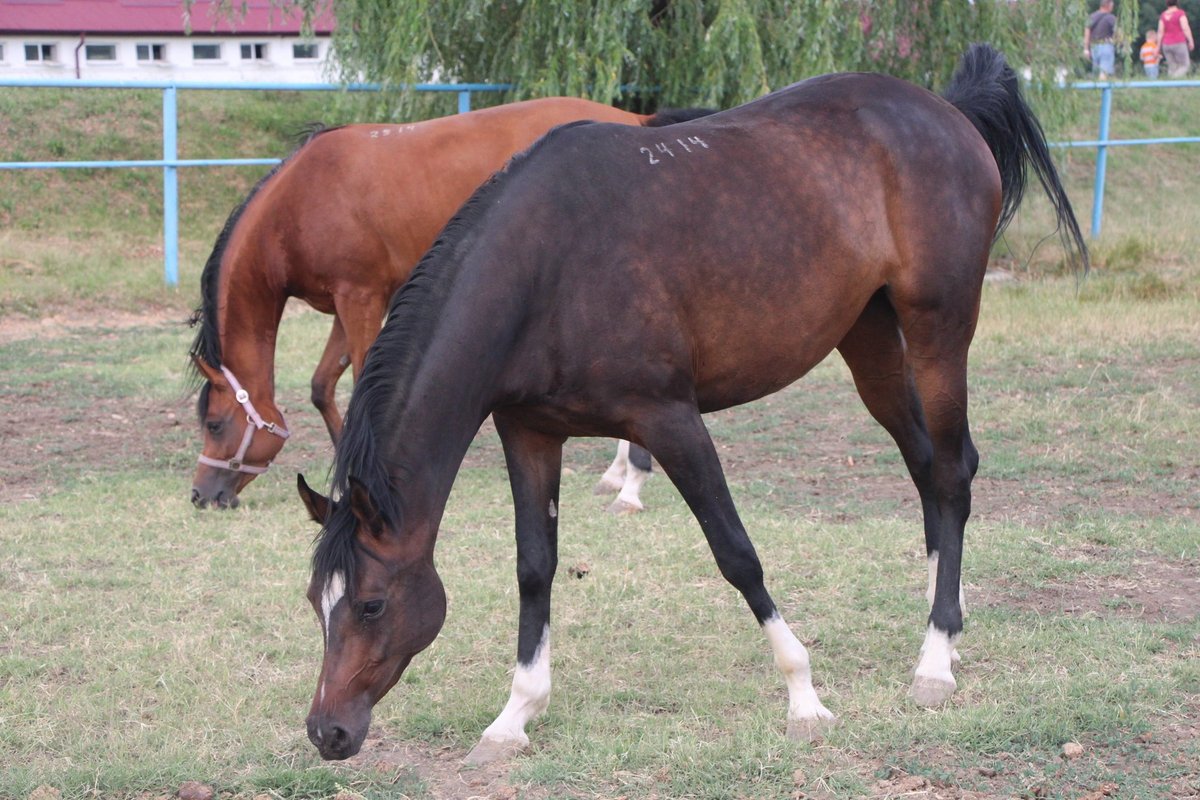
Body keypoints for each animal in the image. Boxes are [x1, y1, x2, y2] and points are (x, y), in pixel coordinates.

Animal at [188, 94, 705, 506]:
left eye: (214, 424)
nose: (201, 495)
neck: (301, 199)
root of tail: (633, 120)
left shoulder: (360, 297)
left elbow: (357, 381)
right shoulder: (347, 303)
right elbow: (321, 387)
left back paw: (631, 483)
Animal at [292, 47, 1089, 767]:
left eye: (370, 605)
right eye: (312, 602)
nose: (328, 732)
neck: (545, 266)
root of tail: (946, 110)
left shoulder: (669, 420)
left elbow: (736, 552)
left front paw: (804, 699)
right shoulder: (530, 432)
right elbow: (534, 568)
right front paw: (513, 716)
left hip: (938, 330)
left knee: (952, 471)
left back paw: (935, 659)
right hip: (870, 344)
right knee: (926, 468)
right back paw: (944, 614)